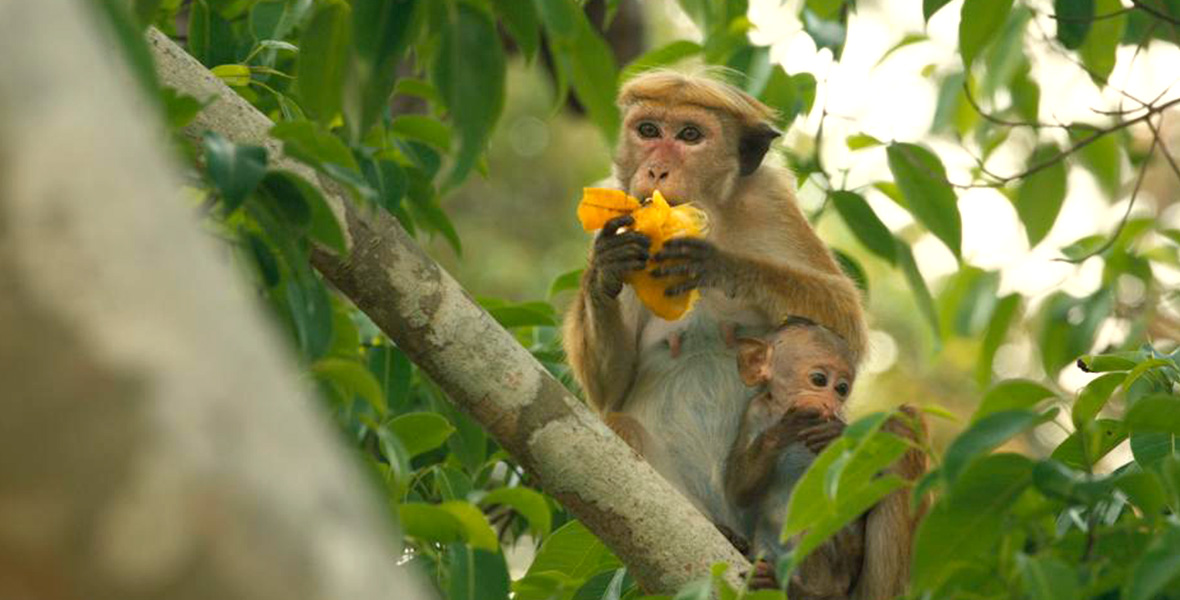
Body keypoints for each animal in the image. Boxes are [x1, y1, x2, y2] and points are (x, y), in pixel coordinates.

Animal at [561, 72, 868, 536]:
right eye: (648, 130)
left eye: (690, 135)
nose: (656, 169)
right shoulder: (616, 205)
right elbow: (611, 391)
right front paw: (605, 269)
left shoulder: (770, 202)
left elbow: (846, 322)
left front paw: (719, 263)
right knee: (620, 423)